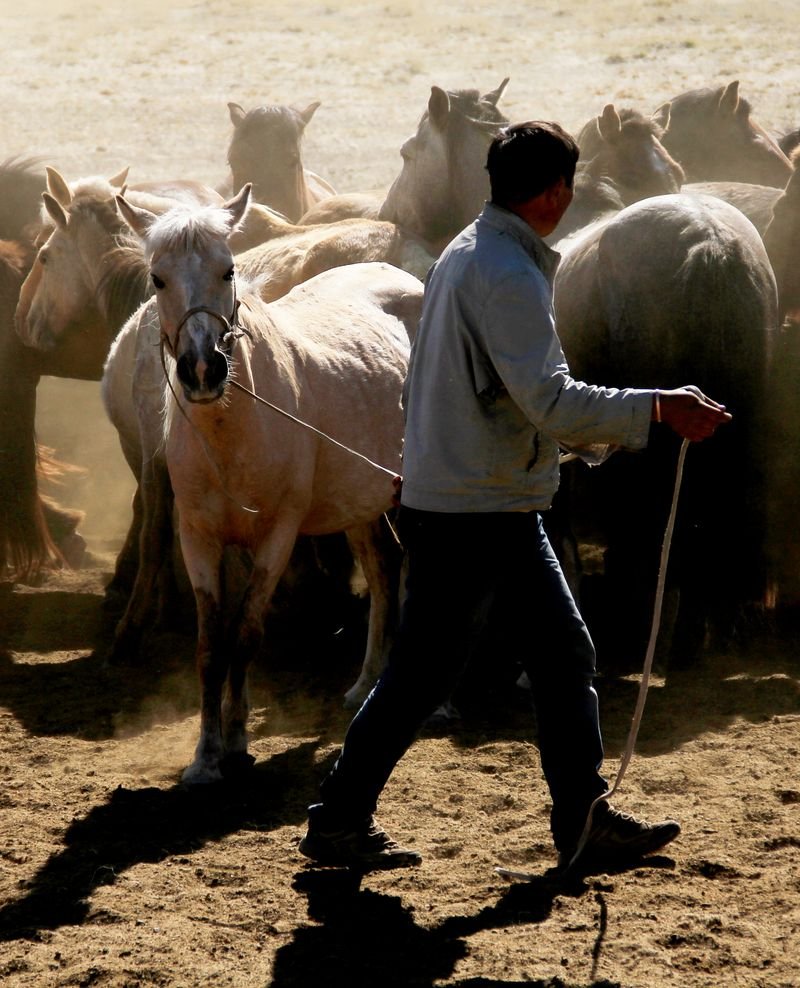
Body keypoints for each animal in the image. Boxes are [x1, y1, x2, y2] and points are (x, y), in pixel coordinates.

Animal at [116, 185, 424, 784]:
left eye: (229, 268)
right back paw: (364, 684)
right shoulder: (199, 538)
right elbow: (212, 645)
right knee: (382, 572)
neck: (232, 433)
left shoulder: (278, 537)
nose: (203, 369)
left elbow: (247, 633)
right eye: (158, 278)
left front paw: (237, 739)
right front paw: (206, 755)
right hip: (362, 504)